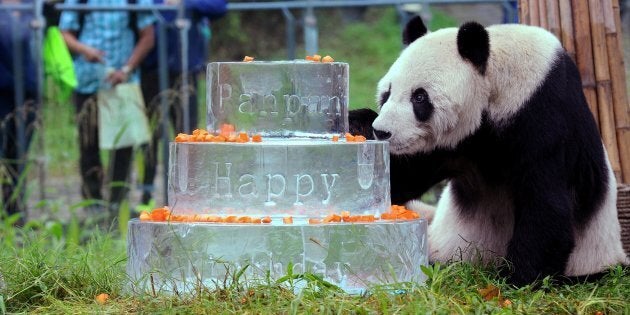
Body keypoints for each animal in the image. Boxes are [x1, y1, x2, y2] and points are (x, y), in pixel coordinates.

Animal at [360, 16, 630, 286]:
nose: (382, 132)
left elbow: (546, 203)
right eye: (387, 93)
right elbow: (405, 179)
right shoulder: (456, 143)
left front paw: (515, 279)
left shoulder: (544, 117)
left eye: (419, 97)